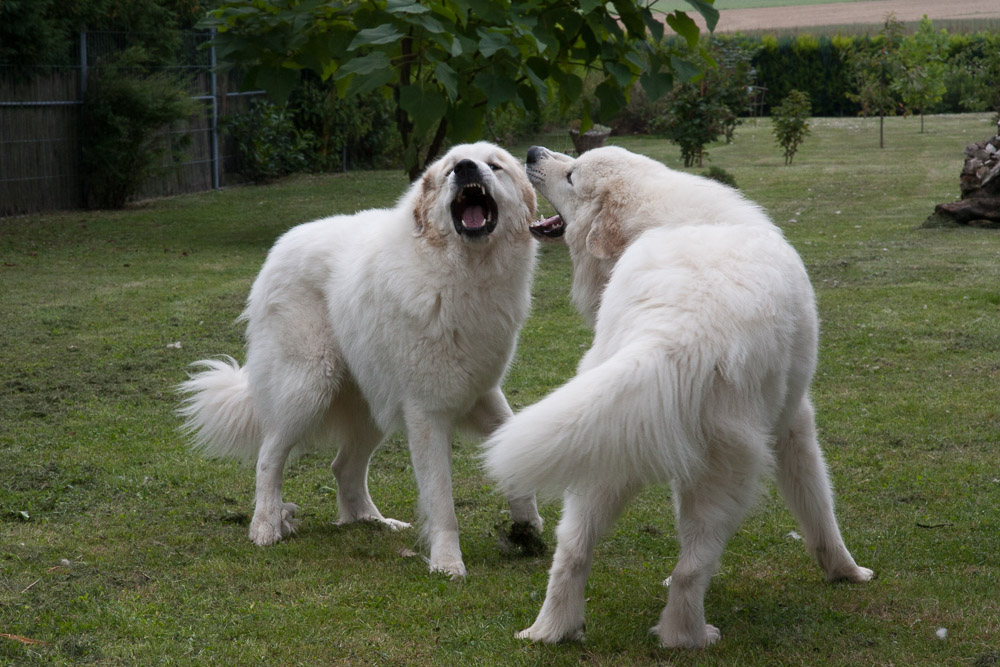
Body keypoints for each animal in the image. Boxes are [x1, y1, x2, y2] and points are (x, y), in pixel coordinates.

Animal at [176, 142, 544, 580]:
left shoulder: (482, 393)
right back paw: (265, 526)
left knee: (343, 467)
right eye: (452, 168)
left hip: (371, 405)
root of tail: (279, 248)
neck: (465, 273)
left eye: (495, 166)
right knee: (269, 459)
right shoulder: (427, 413)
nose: (467, 169)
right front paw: (447, 562)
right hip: (306, 389)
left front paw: (527, 526)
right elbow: (441, 499)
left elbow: (514, 444)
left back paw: (371, 520)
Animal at [480, 145, 872, 648]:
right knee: (692, 568)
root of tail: (677, 331)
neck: (658, 217)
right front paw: (846, 571)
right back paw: (689, 635)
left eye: (571, 174)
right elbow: (818, 505)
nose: (531, 152)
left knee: (572, 550)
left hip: (600, 445)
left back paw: (551, 630)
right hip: (729, 474)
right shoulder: (793, 423)